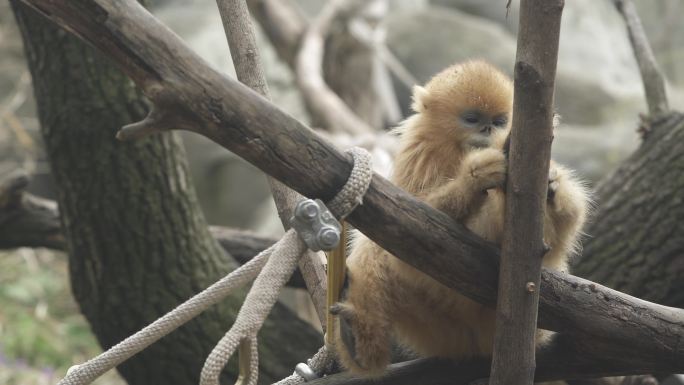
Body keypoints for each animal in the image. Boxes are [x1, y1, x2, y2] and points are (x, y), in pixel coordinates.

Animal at [332, 60, 588, 376]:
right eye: (472, 119)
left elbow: (568, 224)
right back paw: (357, 340)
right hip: (436, 328)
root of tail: (475, 343)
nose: (489, 129)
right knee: (376, 248)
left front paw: (551, 186)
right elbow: (406, 221)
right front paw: (475, 177)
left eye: (499, 121)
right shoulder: (419, 149)